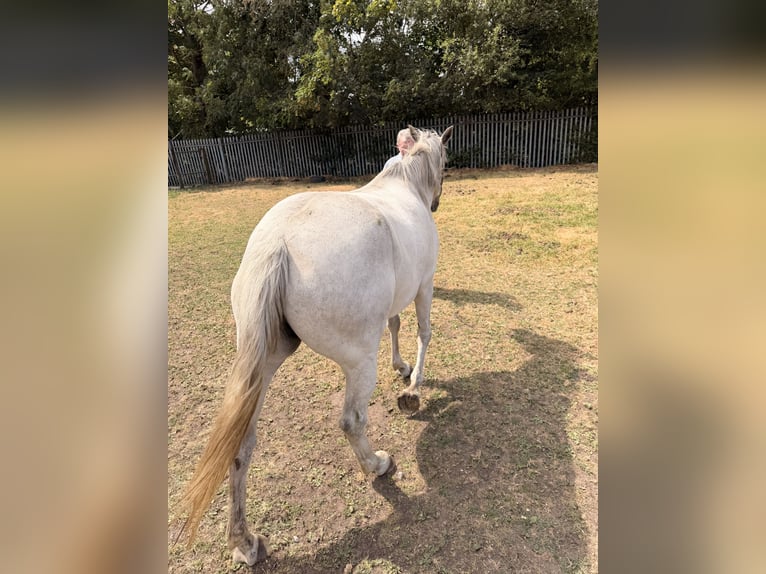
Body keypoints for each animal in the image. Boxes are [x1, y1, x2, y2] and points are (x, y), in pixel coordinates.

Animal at [181, 125, 453, 565]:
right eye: (446, 162)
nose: (437, 202)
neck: (404, 184)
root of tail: (278, 243)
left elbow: (395, 324)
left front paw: (402, 368)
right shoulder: (424, 284)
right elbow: (423, 331)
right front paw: (413, 388)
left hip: (264, 362)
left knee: (241, 443)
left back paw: (244, 542)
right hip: (358, 362)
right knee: (352, 421)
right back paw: (377, 464)